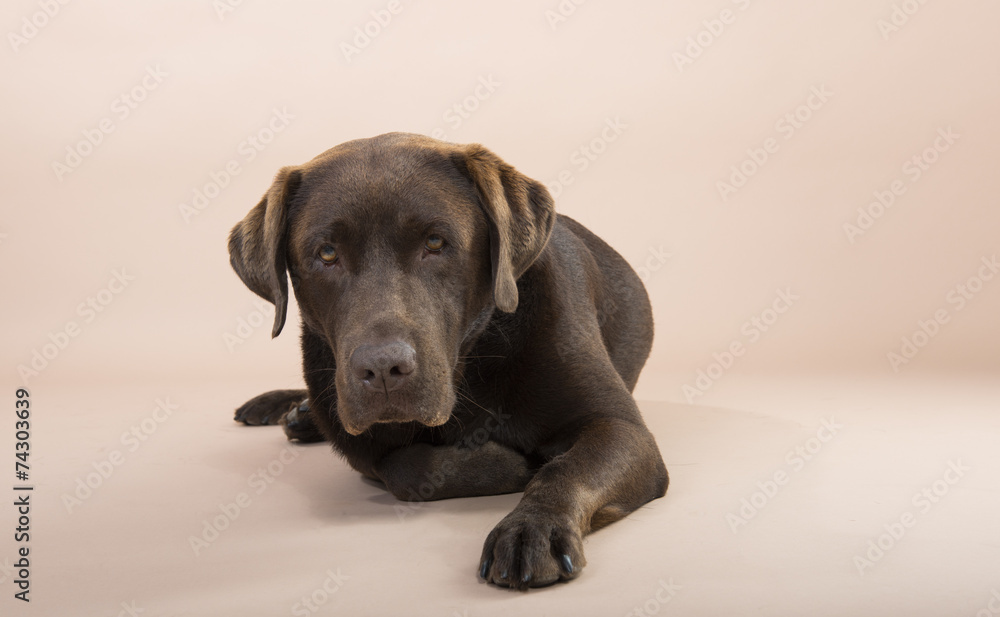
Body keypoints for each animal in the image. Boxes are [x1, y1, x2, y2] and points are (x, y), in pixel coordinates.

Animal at [227, 132, 664, 588]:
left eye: (435, 243)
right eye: (327, 253)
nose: (383, 370)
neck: (470, 368)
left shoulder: (621, 427)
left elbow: (567, 468)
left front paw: (532, 527)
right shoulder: (357, 439)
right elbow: (405, 468)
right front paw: (509, 464)